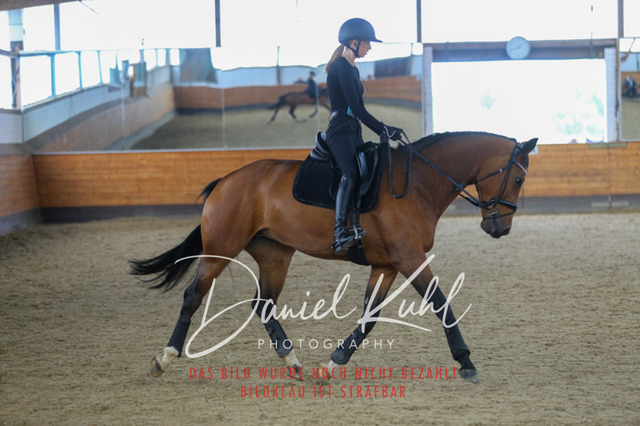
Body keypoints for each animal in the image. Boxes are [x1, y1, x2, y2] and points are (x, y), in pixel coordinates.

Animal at [130, 131, 538, 384]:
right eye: (518, 179)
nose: (500, 229)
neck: (418, 181)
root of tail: (226, 180)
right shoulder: (410, 258)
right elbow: (441, 304)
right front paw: (466, 362)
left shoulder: (387, 264)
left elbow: (370, 317)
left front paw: (333, 363)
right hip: (221, 250)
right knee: (193, 297)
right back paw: (164, 358)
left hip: (275, 254)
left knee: (263, 304)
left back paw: (293, 363)